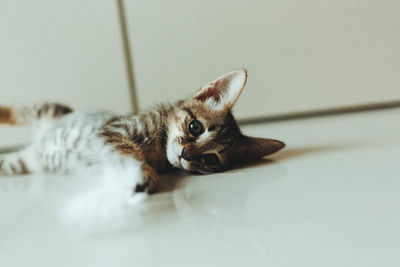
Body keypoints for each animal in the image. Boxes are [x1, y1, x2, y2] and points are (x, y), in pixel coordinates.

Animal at [1, 70, 286, 194]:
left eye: (211, 159)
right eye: (195, 127)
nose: (185, 154)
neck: (159, 148)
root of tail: (39, 141)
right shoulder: (112, 131)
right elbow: (127, 153)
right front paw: (142, 174)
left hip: (21, 162)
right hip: (46, 110)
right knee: (15, 110)